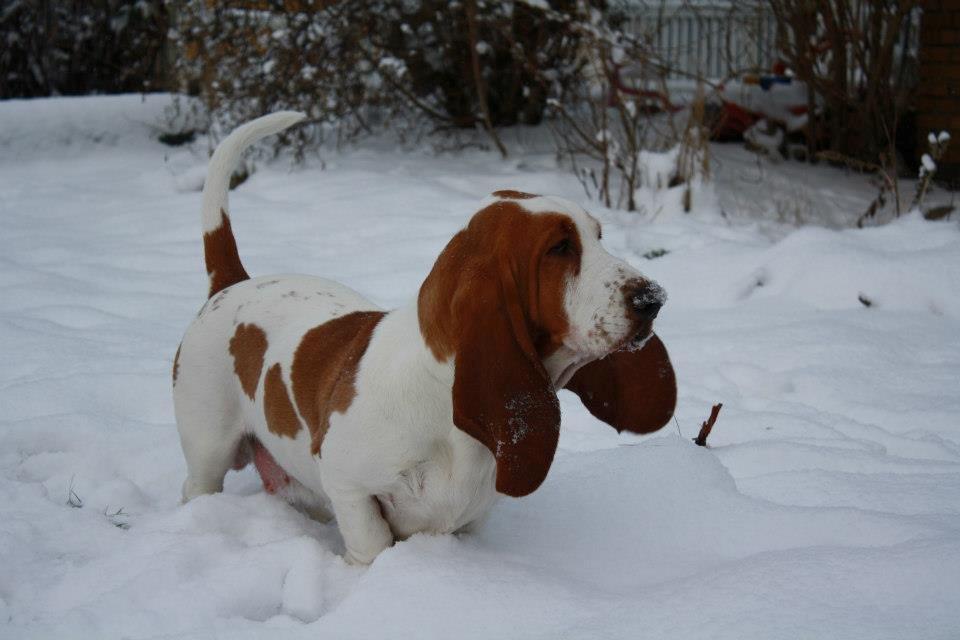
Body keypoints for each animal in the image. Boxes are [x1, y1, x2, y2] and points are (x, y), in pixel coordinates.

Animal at [176, 112, 680, 564]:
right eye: (560, 248)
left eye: (599, 235)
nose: (654, 298)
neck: (440, 394)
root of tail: (232, 283)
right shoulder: (347, 484)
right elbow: (371, 543)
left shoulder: (471, 518)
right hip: (208, 451)